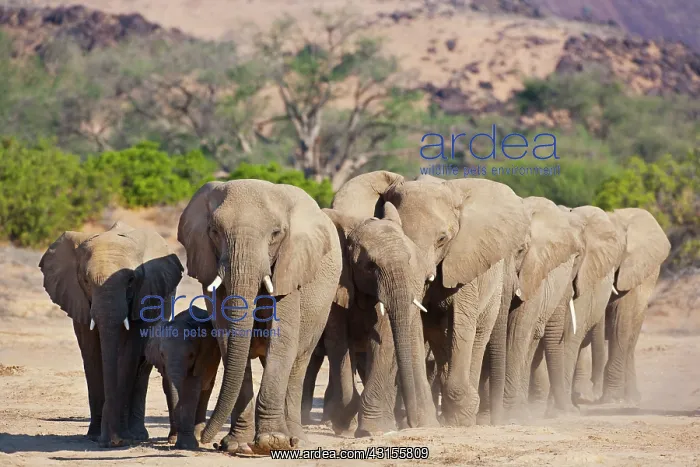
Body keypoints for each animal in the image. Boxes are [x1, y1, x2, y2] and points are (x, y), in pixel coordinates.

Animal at [39, 221, 184, 447]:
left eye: (131, 280)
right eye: (86, 281)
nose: (110, 440)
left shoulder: (144, 293)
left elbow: (129, 352)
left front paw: (119, 439)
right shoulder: (79, 299)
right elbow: (91, 353)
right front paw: (95, 436)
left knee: (143, 366)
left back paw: (136, 435)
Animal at [145, 306, 221, 449]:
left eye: (191, 355)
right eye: (162, 354)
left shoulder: (202, 357)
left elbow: (191, 389)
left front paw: (187, 445)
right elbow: (169, 390)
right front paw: (173, 440)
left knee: (206, 390)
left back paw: (198, 435)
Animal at [176, 180, 342, 454]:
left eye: (276, 234)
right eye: (214, 231)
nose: (208, 441)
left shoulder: (290, 267)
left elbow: (282, 339)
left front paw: (270, 443)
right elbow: (227, 340)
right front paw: (238, 445)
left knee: (298, 364)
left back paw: (297, 440)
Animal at [331, 171, 530, 427]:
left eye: (442, 239)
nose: (411, 421)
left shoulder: (462, 264)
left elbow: (461, 321)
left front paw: (459, 419)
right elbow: (415, 325)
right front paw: (425, 421)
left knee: (477, 337)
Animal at [598, 207, 670, 405]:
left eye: (614, 253)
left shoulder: (628, 273)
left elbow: (619, 322)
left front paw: (611, 399)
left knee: (630, 341)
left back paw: (631, 398)